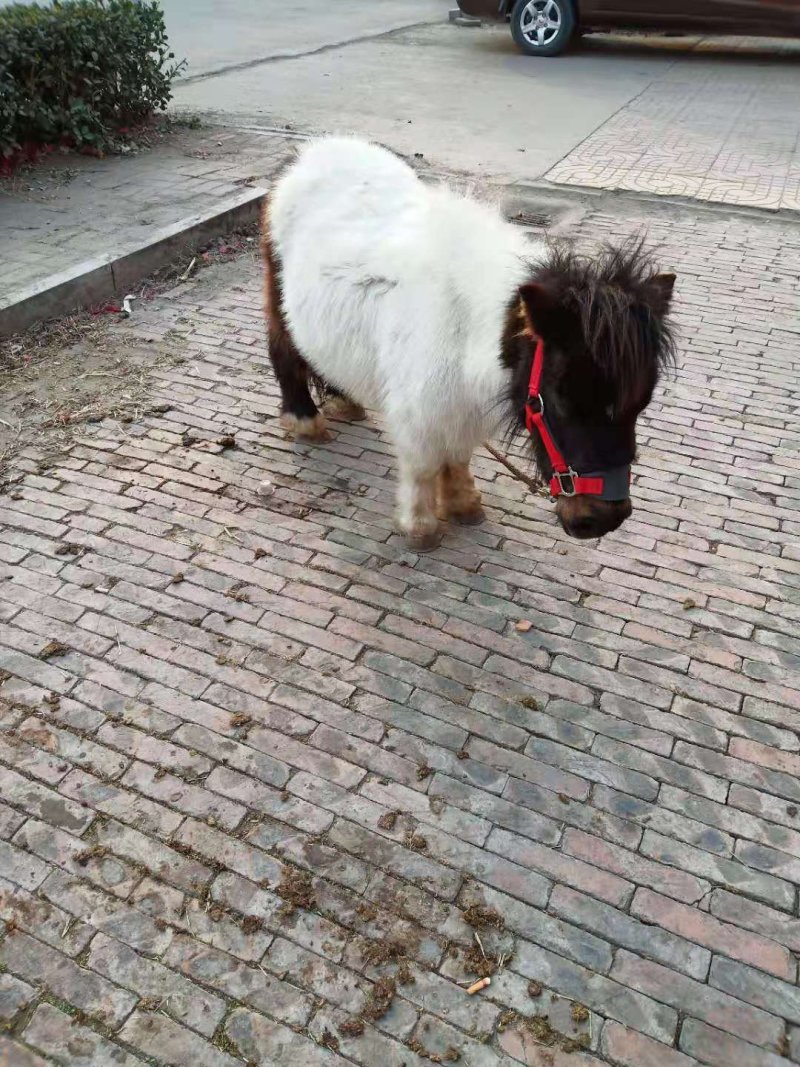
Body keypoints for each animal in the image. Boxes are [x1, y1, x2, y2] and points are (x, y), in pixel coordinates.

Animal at [262, 136, 676, 551]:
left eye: (641, 403)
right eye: (560, 400)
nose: (603, 520)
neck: (466, 322)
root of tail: (307, 152)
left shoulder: (458, 403)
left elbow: (458, 454)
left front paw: (464, 505)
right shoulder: (418, 408)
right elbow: (423, 463)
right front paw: (421, 527)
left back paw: (345, 401)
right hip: (279, 305)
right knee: (285, 352)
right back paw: (306, 422)